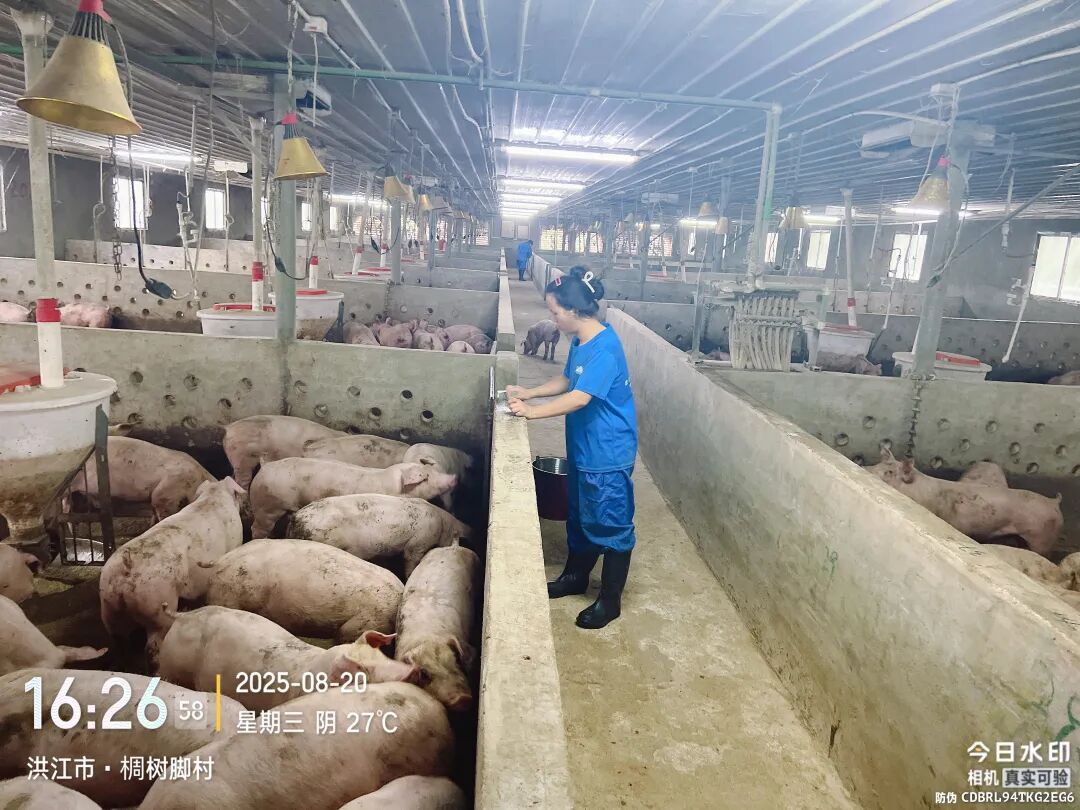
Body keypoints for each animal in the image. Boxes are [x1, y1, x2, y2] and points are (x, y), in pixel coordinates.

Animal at [249, 459, 458, 539]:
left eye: (431, 470)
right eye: (425, 477)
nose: (454, 477)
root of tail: (264, 467)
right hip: (268, 507)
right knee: (256, 527)